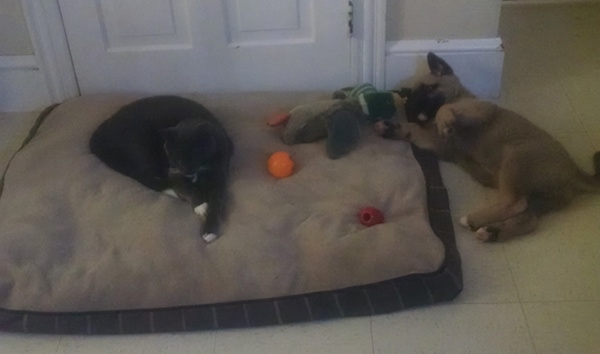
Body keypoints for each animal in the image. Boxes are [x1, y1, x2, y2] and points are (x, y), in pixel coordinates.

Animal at [90, 95, 233, 242]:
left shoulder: (218, 176)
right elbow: (187, 188)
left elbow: (217, 201)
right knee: (149, 180)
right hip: (141, 151)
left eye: (194, 157)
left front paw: (210, 231)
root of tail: (98, 136)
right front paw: (201, 206)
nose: (184, 171)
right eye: (175, 158)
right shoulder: (174, 174)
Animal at [378, 51, 596, 241]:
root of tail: (575, 172)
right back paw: (493, 232)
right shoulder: (438, 143)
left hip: (515, 161)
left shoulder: (478, 111)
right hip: (538, 198)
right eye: (412, 98)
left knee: (516, 203)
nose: (413, 109)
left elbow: (444, 108)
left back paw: (474, 219)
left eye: (430, 89)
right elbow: (413, 130)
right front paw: (392, 128)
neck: (459, 95)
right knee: (529, 219)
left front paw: (443, 118)